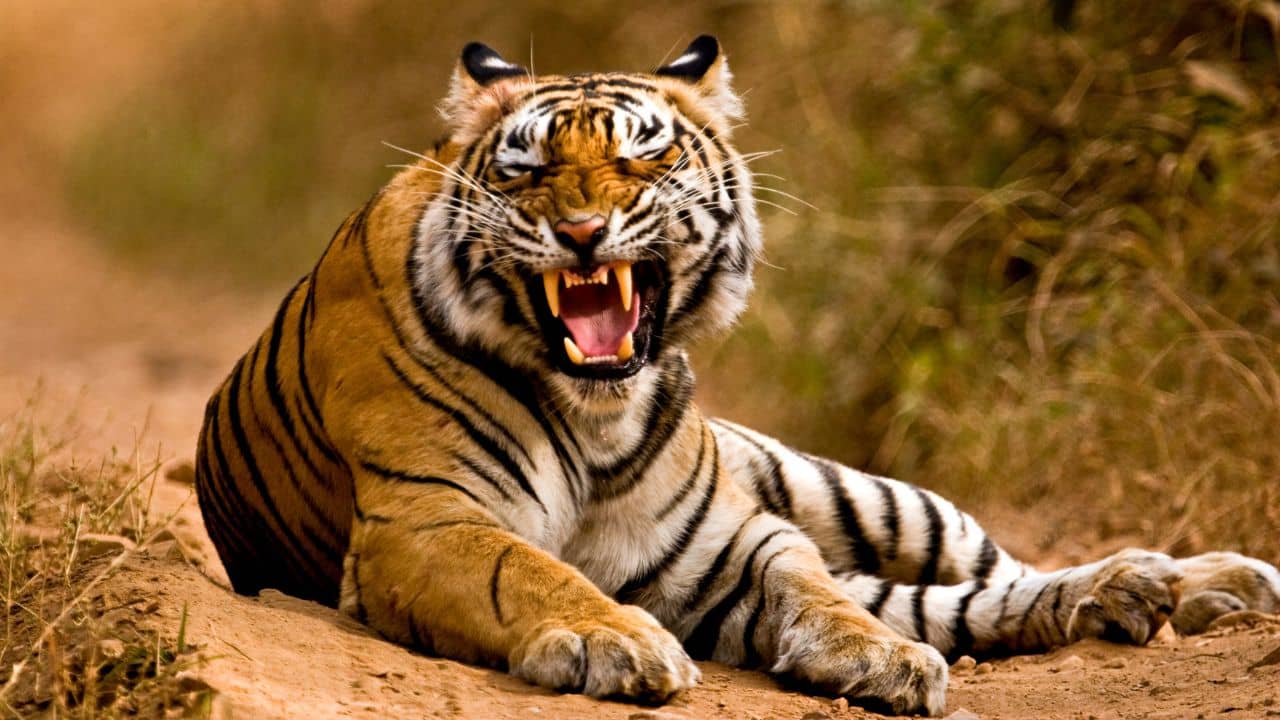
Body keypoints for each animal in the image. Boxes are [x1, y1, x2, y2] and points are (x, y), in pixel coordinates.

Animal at [194, 36, 1280, 716]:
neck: (596, 414)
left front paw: (876, 658)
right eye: (526, 170)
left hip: (858, 492)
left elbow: (812, 587)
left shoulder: (728, 539)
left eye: (642, 159)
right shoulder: (423, 521)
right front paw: (618, 641)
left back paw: (1193, 582)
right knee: (959, 601)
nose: (580, 230)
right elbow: (530, 569)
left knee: (987, 573)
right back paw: (1151, 596)